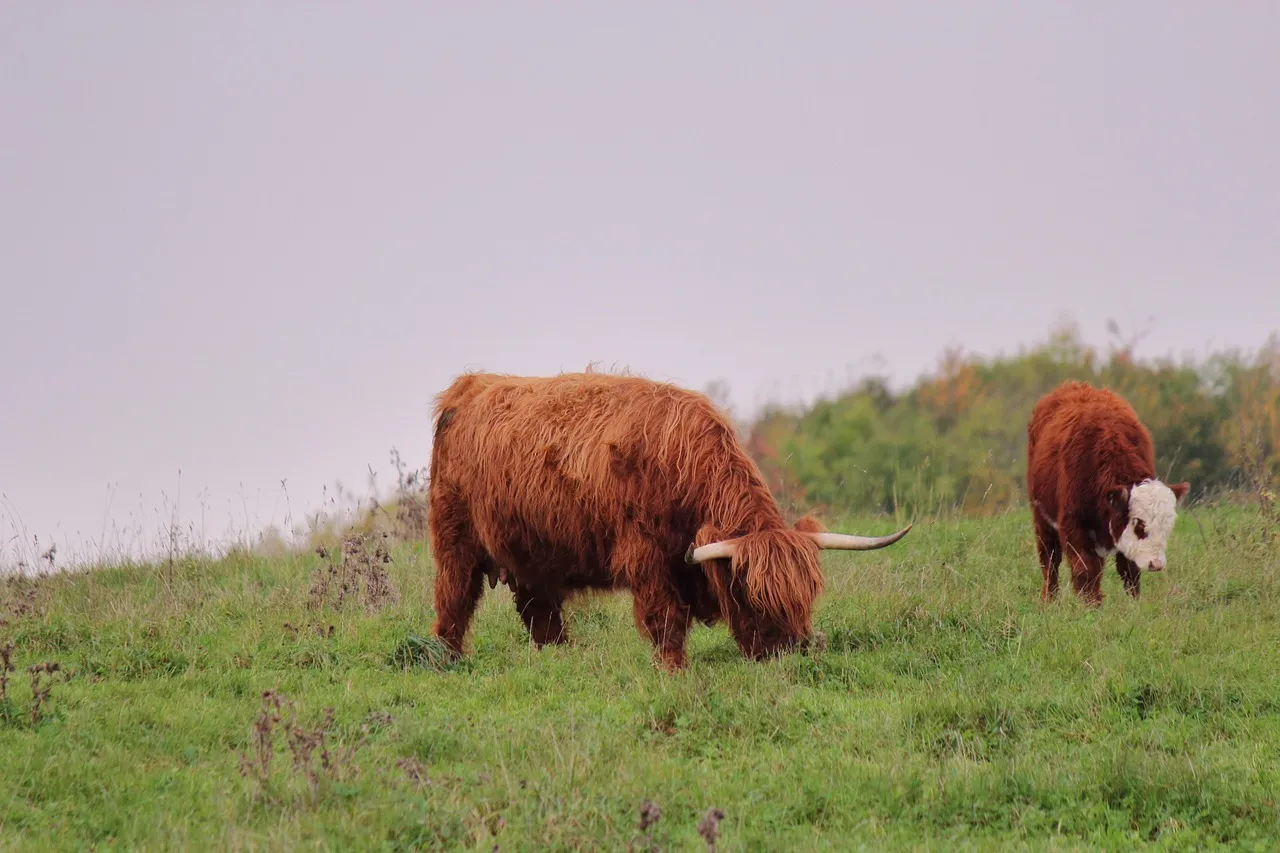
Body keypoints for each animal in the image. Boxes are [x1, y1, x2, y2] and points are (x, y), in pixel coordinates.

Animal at [426, 370, 913, 671]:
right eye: (751, 594)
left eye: (806, 596)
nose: (788, 653)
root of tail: (468, 385)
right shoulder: (646, 557)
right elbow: (666, 621)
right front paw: (674, 670)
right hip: (455, 542)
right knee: (454, 602)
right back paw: (449, 660)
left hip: (533, 555)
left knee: (540, 613)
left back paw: (560, 659)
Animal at [1026, 380, 1190, 605]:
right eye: (1139, 525)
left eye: (1167, 525)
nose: (1156, 564)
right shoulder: (1074, 527)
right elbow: (1085, 569)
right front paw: (1090, 605)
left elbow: (1129, 570)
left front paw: (1134, 603)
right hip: (1042, 520)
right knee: (1050, 560)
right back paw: (1049, 599)